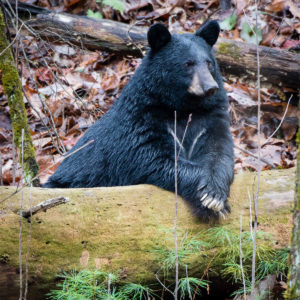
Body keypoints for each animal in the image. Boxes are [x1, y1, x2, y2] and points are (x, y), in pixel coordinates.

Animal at [44, 20, 234, 218]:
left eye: (209, 63)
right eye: (188, 64)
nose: (210, 87)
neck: (183, 106)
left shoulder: (210, 116)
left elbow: (219, 150)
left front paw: (214, 193)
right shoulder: (140, 120)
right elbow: (151, 157)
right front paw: (210, 200)